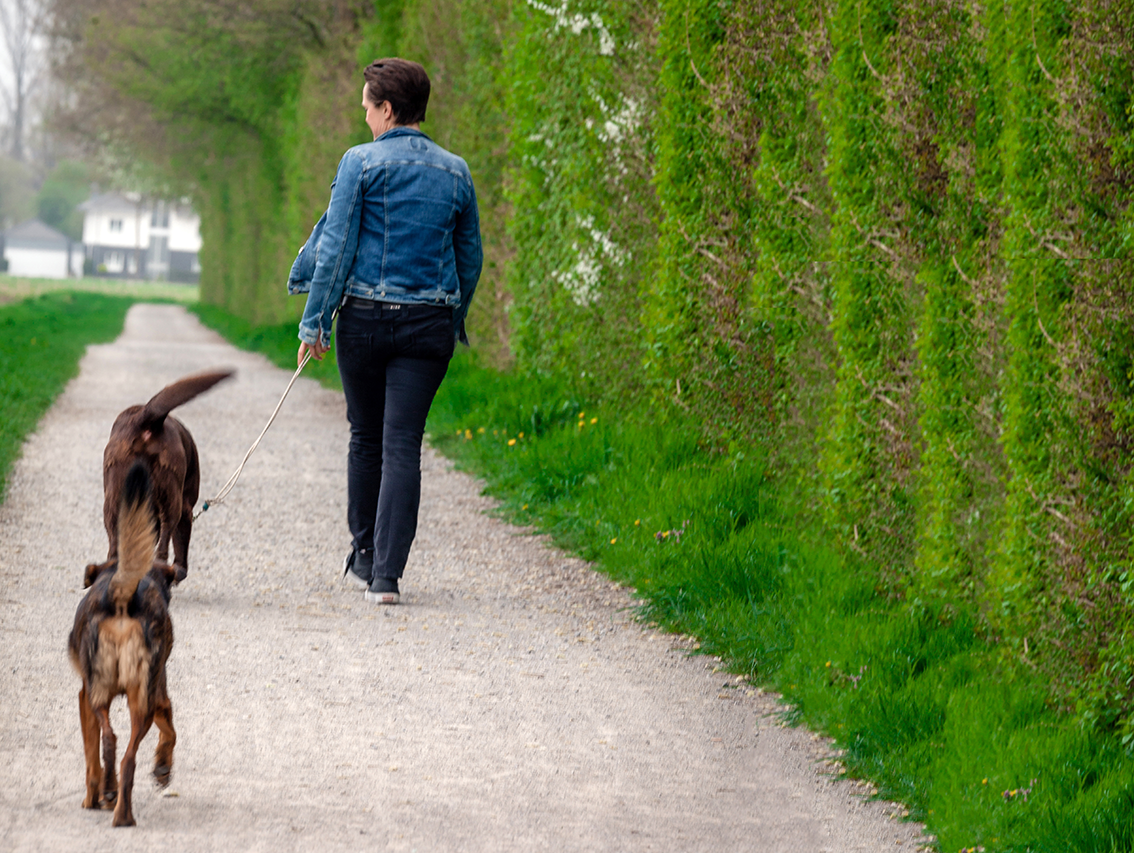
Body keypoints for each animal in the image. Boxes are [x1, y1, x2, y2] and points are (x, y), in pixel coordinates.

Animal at [70, 460, 178, 825]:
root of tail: (121, 594)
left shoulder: (84, 696)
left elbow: (89, 753)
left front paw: (92, 797)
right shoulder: (155, 696)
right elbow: (169, 728)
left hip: (114, 694)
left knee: (112, 744)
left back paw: (110, 799)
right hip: (137, 699)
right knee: (122, 751)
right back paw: (120, 809)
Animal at [102, 369, 232, 585]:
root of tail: (144, 421)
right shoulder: (186, 507)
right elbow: (180, 543)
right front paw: (179, 570)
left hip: (114, 494)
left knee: (114, 545)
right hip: (171, 496)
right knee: (164, 541)